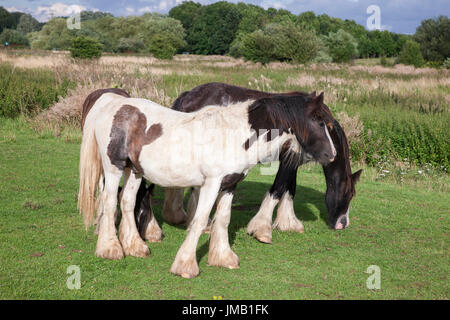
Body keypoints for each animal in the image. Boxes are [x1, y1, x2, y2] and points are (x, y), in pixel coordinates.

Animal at [79, 88, 336, 278]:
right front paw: (185, 265)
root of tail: (112, 104)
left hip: (134, 171)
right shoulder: (212, 183)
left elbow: (223, 219)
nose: (331, 155)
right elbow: (201, 219)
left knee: (127, 202)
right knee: (109, 202)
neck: (235, 133)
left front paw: (223, 258)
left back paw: (135, 247)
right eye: (318, 121)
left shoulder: (230, 185)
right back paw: (110, 248)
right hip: (113, 168)